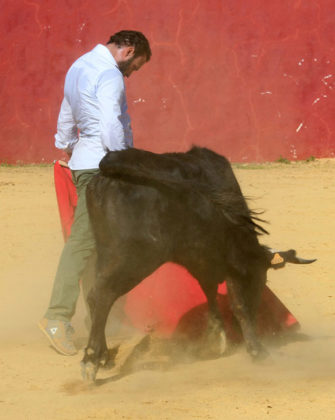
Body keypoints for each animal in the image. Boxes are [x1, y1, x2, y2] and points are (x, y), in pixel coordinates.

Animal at [80, 147, 316, 380]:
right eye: (259, 280)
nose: (257, 309)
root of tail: (110, 167)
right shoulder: (230, 262)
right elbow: (237, 304)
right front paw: (257, 351)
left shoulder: (202, 260)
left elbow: (209, 291)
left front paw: (217, 337)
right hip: (136, 256)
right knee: (103, 294)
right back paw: (91, 360)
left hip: (105, 250)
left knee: (93, 293)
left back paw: (104, 357)